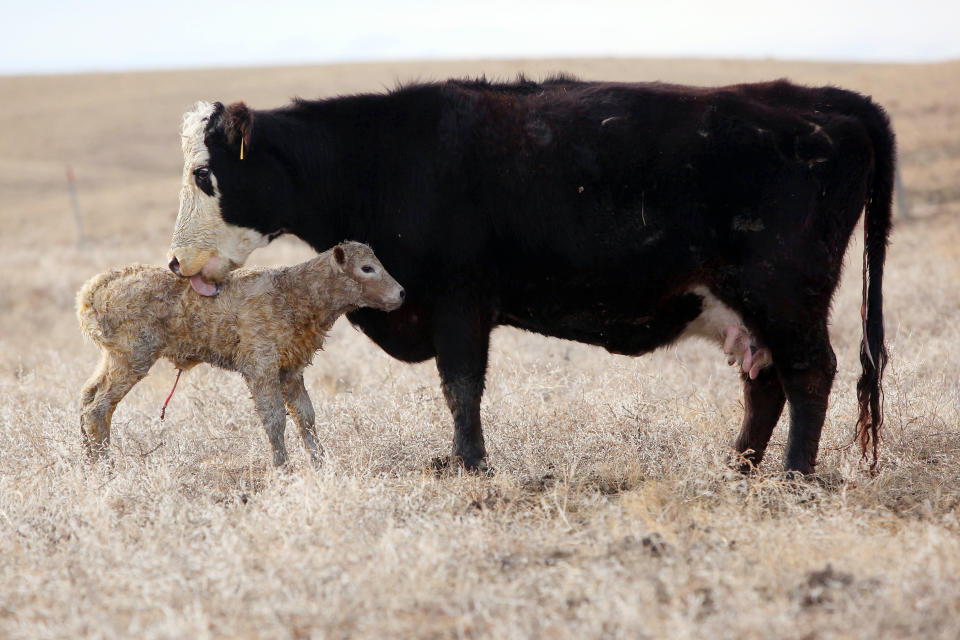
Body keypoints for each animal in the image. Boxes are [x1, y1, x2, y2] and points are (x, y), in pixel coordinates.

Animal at [76, 240, 402, 464]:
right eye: (367, 268)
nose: (401, 293)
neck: (294, 291)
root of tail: (97, 286)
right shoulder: (261, 367)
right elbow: (274, 419)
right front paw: (283, 468)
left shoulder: (291, 371)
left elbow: (306, 417)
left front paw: (320, 464)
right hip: (132, 359)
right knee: (98, 409)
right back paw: (106, 467)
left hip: (113, 358)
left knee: (87, 396)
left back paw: (89, 460)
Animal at [169, 76, 896, 476]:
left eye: (205, 175)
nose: (175, 263)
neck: (384, 157)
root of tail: (822, 102)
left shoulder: (458, 299)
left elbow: (461, 386)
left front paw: (469, 464)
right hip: (747, 308)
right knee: (765, 383)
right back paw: (736, 468)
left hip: (785, 294)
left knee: (810, 374)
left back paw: (793, 477)